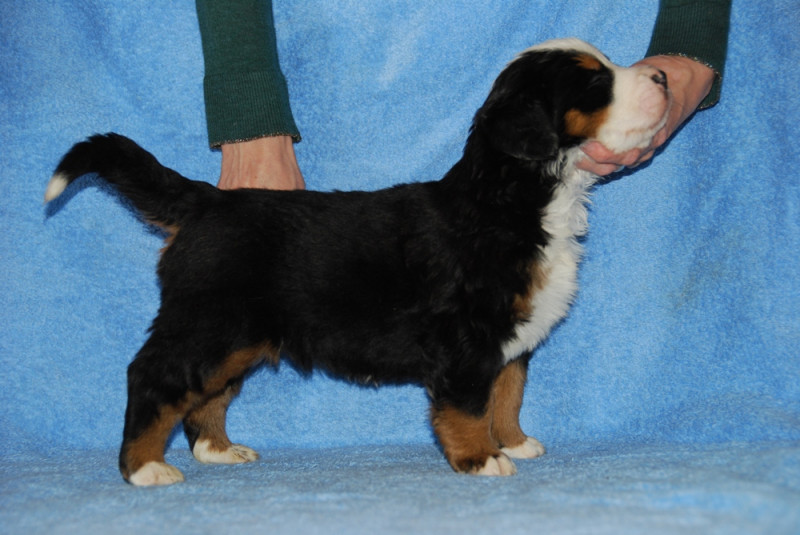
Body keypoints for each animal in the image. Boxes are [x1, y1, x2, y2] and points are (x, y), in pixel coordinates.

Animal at [45, 38, 670, 485]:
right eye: (596, 82)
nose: (663, 76)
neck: (515, 198)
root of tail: (208, 200)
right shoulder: (468, 338)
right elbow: (469, 405)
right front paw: (482, 459)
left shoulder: (510, 339)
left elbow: (508, 393)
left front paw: (514, 440)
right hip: (207, 323)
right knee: (153, 377)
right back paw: (145, 468)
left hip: (236, 337)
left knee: (206, 396)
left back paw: (220, 451)